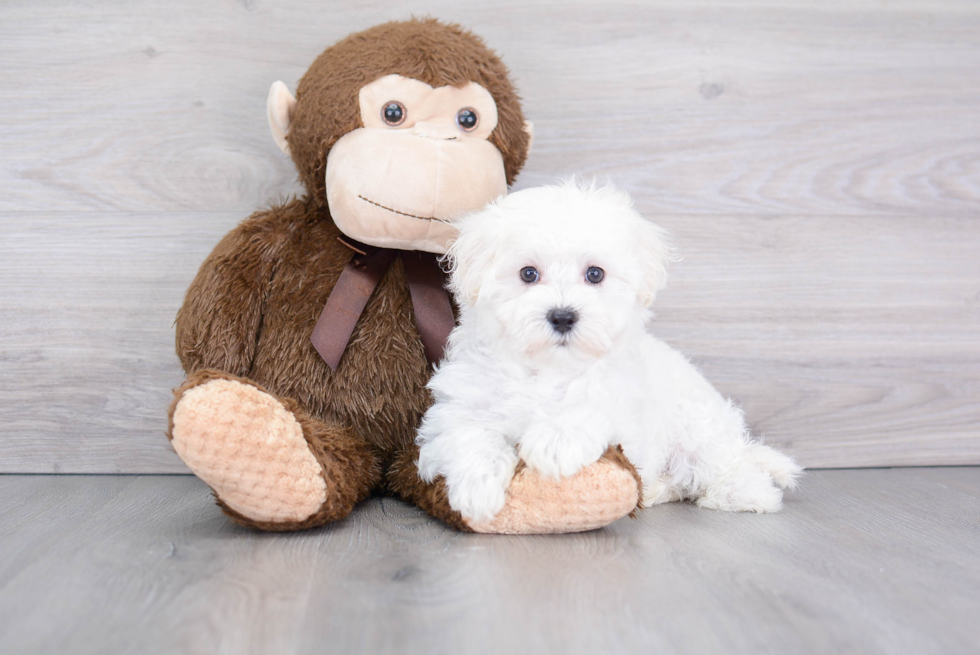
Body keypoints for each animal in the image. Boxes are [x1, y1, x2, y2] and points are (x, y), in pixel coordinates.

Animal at [418, 179, 800, 524]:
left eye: (595, 274)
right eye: (528, 273)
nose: (562, 316)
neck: (549, 367)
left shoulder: (623, 405)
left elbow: (592, 407)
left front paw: (555, 441)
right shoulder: (459, 406)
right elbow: (469, 434)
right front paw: (477, 488)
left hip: (698, 429)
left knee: (728, 466)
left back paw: (743, 494)